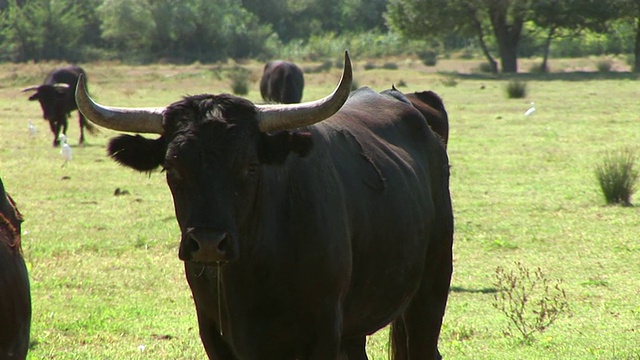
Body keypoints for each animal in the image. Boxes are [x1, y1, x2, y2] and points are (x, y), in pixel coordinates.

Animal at [76, 51, 456, 360]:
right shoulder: (213, 332)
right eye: (172, 166)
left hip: (431, 289)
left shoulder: (323, 330)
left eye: (250, 165)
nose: (209, 243)